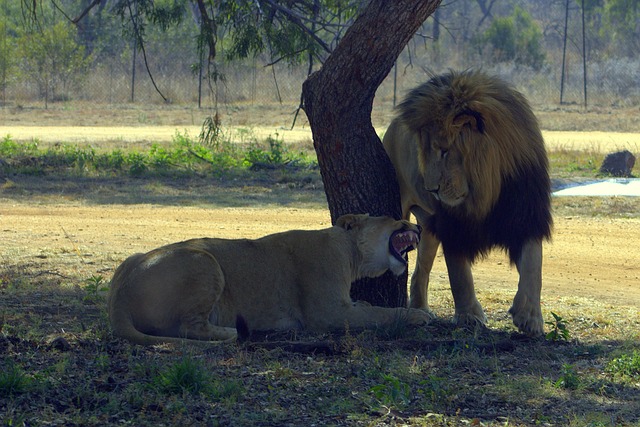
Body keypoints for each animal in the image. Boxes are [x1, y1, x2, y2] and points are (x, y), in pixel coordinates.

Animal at [109, 216, 430, 346]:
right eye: (398, 220)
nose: (419, 226)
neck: (350, 252)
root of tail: (117, 299)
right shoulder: (328, 314)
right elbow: (382, 314)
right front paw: (418, 314)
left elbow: (368, 307)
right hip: (204, 260)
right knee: (190, 328)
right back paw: (234, 332)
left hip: (135, 258)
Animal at [382, 70, 552, 338]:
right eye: (423, 152)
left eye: (444, 150)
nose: (431, 189)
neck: (486, 191)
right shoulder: (452, 224)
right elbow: (459, 275)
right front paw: (469, 316)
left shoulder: (525, 215)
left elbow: (534, 266)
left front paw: (530, 318)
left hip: (427, 228)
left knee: (421, 271)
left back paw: (420, 309)